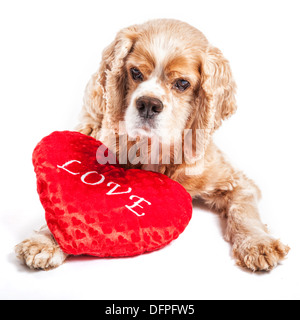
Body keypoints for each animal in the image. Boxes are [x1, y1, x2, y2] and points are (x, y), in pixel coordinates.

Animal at [15, 18, 290, 272]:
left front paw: (259, 244)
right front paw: (46, 240)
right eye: (135, 72)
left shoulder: (235, 181)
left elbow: (244, 212)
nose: (148, 104)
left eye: (182, 83)